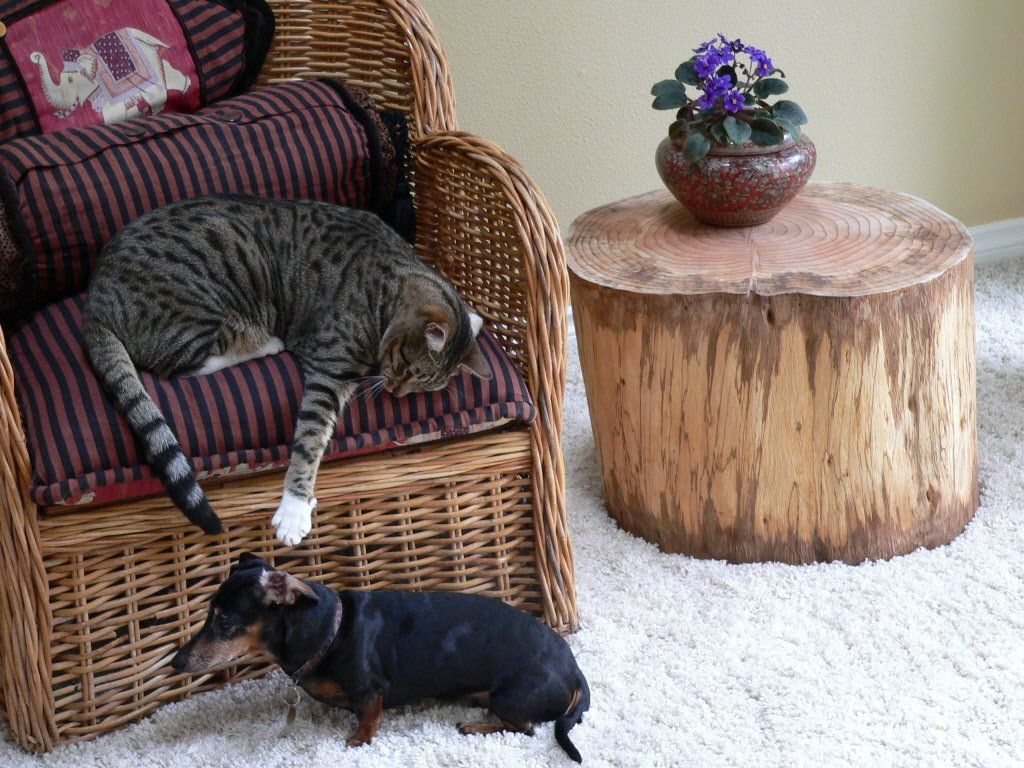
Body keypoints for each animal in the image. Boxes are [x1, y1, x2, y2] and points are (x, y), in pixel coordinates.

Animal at [83, 198, 491, 548]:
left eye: (419, 387)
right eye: (409, 369)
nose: (395, 391)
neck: (385, 289)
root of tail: (94, 297)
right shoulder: (330, 368)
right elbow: (310, 437)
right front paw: (295, 506)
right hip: (198, 308)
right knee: (183, 363)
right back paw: (265, 342)